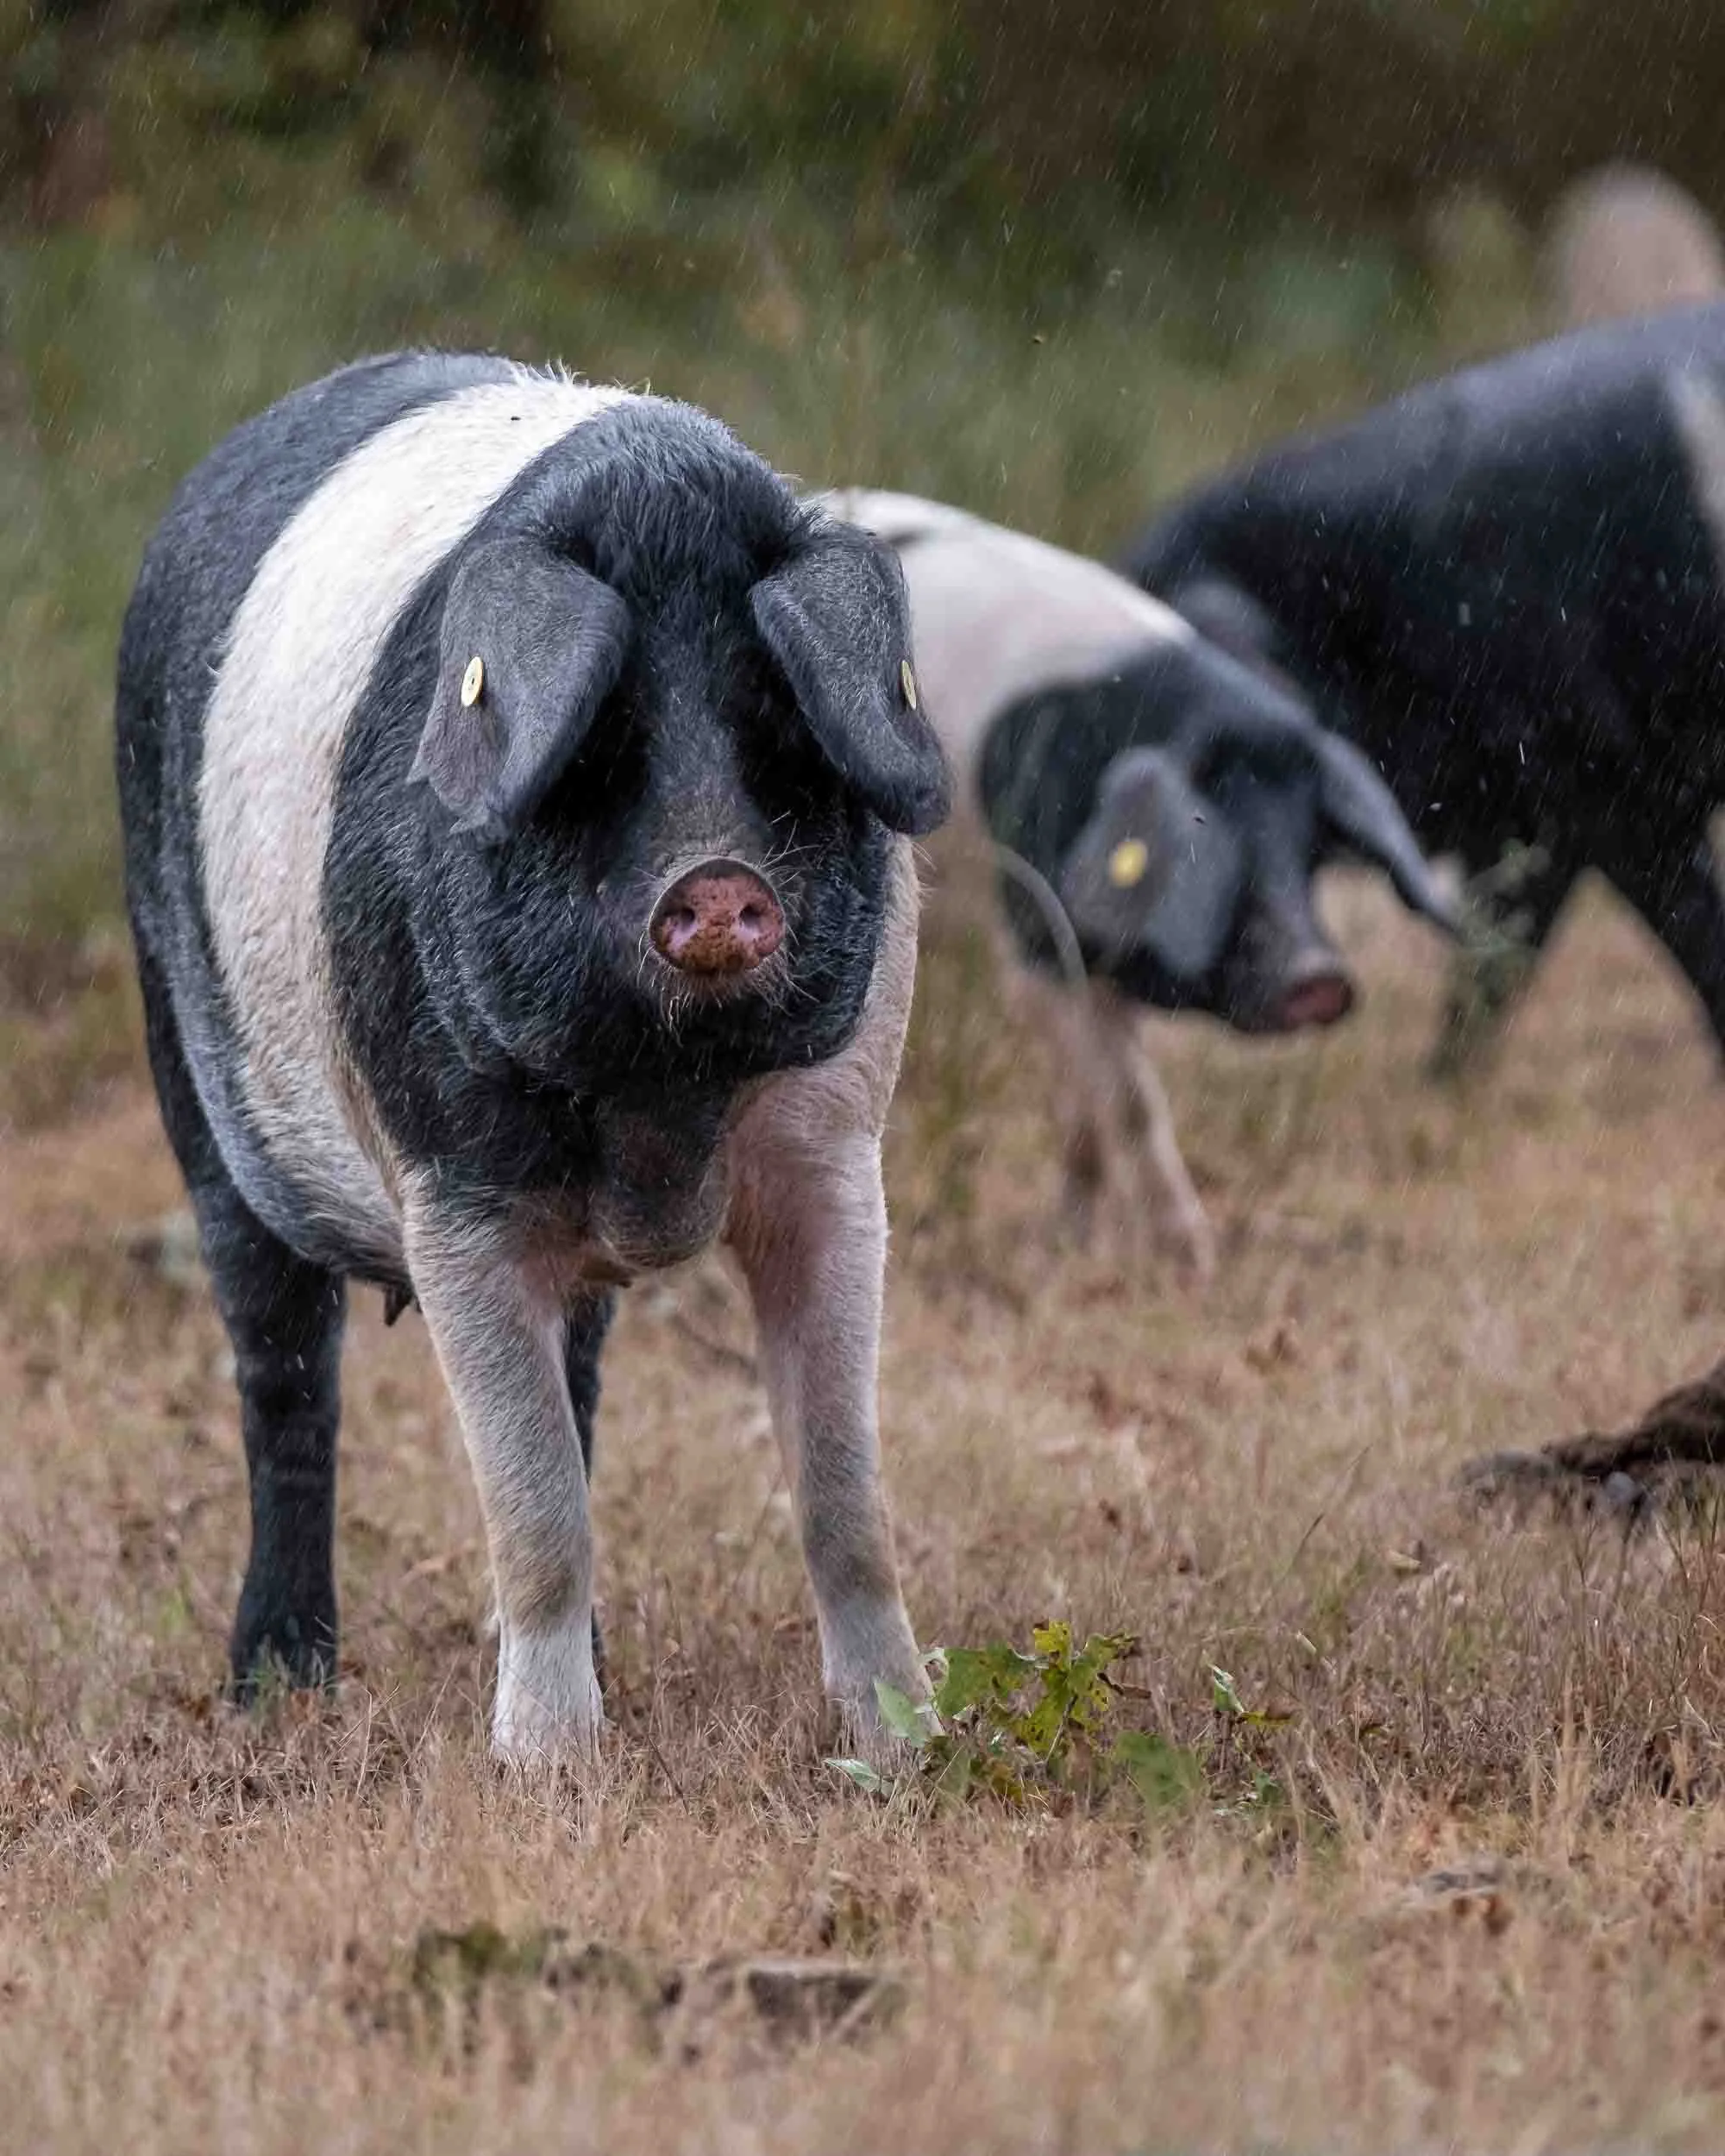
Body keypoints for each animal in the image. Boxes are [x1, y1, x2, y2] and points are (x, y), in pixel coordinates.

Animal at [116, 354, 951, 1764]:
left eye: (777, 723)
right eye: (600, 742)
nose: (718, 884)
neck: (661, 1103)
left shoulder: (838, 1152)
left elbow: (845, 1486)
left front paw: (906, 1748)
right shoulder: (452, 1184)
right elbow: (532, 1501)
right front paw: (548, 1771)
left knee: (581, 1381)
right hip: (189, 1077)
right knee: (285, 1381)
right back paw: (278, 1688)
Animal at [825, 490, 1456, 1280]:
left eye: (1308, 851)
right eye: (1200, 848)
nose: (1317, 976)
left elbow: (1096, 1103)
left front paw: (1121, 1243)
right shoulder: (1033, 939)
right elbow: (1125, 1102)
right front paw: (1178, 1258)